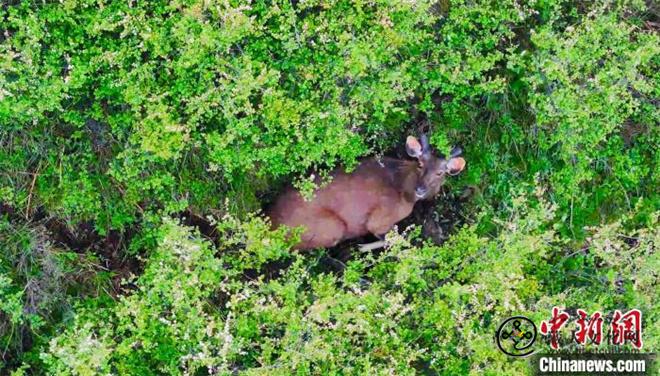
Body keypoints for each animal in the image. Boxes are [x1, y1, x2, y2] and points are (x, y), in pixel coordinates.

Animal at [266, 134, 466, 251]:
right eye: (420, 164)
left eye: (440, 173)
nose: (420, 189)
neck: (403, 188)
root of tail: (271, 224)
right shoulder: (379, 220)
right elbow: (393, 238)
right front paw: (363, 246)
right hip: (332, 227)